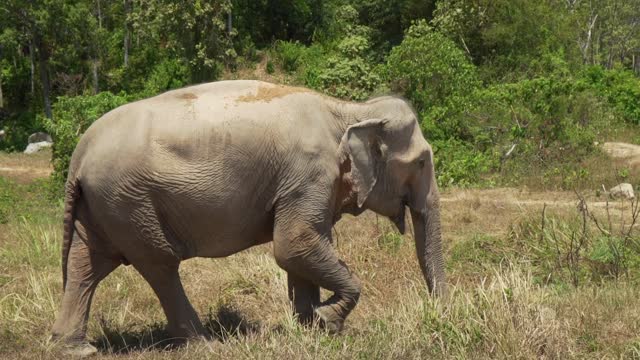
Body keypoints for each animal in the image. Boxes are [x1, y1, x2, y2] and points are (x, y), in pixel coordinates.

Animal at [51, 81, 444, 354]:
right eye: (422, 162)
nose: (438, 312)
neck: (349, 110)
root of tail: (79, 154)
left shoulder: (306, 185)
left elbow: (301, 251)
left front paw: (310, 328)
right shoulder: (310, 175)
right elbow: (293, 245)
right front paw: (327, 321)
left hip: (105, 204)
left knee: (88, 263)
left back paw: (76, 348)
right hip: (129, 201)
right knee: (160, 265)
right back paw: (205, 344)